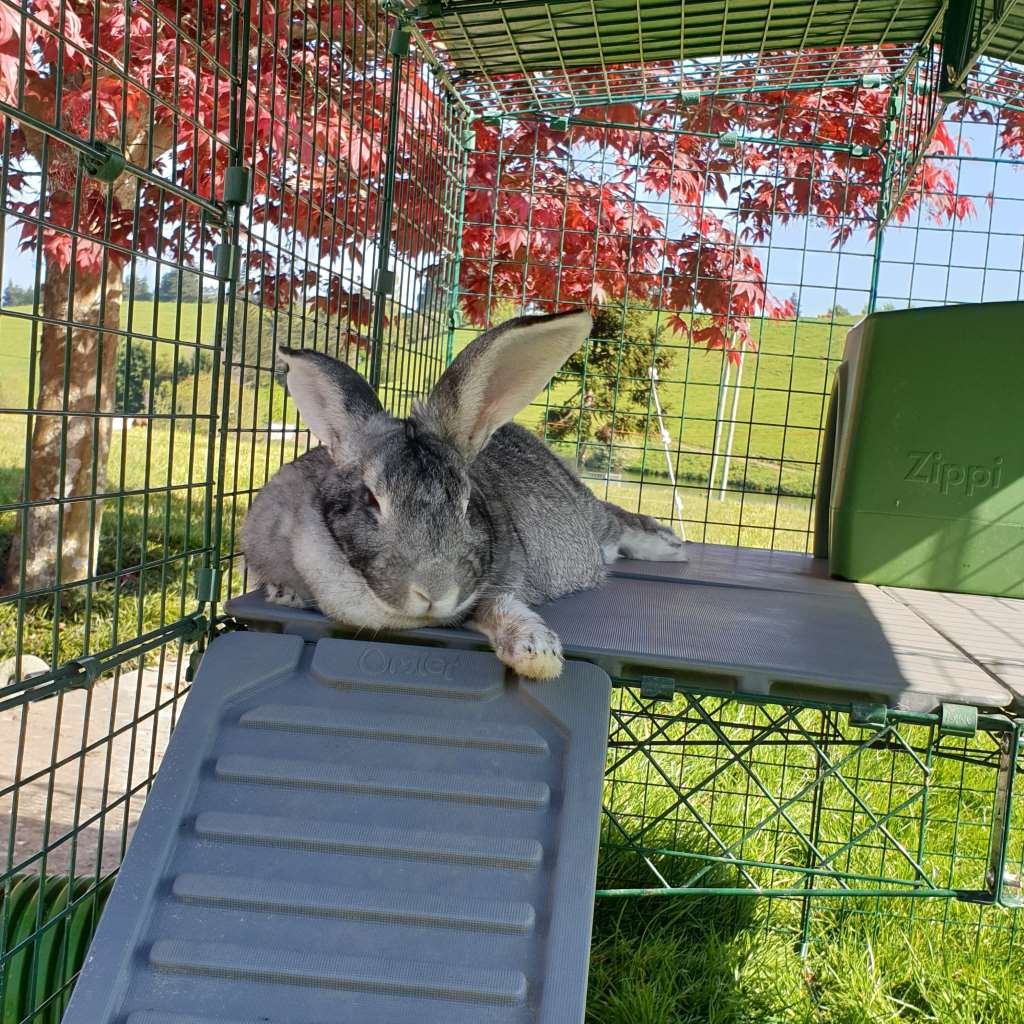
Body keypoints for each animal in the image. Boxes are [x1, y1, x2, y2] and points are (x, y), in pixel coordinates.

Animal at [241, 309, 687, 680]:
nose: (435, 592)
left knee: (619, 524)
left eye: (468, 500)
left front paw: (537, 656)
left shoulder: (499, 582)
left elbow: (501, 608)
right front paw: (284, 593)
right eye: (370, 499)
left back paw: (672, 547)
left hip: (592, 518)